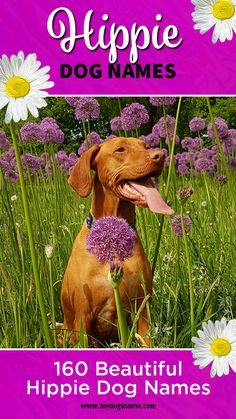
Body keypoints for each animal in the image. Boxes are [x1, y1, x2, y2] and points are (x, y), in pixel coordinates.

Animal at [60, 138, 173, 348]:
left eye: (146, 146)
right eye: (120, 149)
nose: (160, 155)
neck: (113, 238)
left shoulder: (142, 312)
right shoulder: (82, 318)